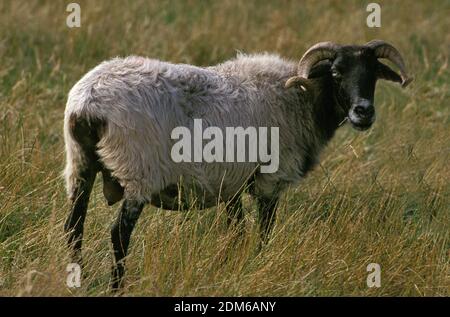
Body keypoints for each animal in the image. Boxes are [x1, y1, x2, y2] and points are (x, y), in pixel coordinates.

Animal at [63, 39, 412, 288]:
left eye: (373, 74)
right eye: (337, 72)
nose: (363, 112)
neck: (301, 98)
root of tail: (88, 104)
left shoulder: (231, 182)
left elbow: (236, 231)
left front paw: (229, 266)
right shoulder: (271, 177)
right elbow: (263, 231)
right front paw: (258, 263)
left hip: (79, 165)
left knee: (74, 226)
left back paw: (78, 279)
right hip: (138, 171)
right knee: (119, 234)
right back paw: (116, 287)